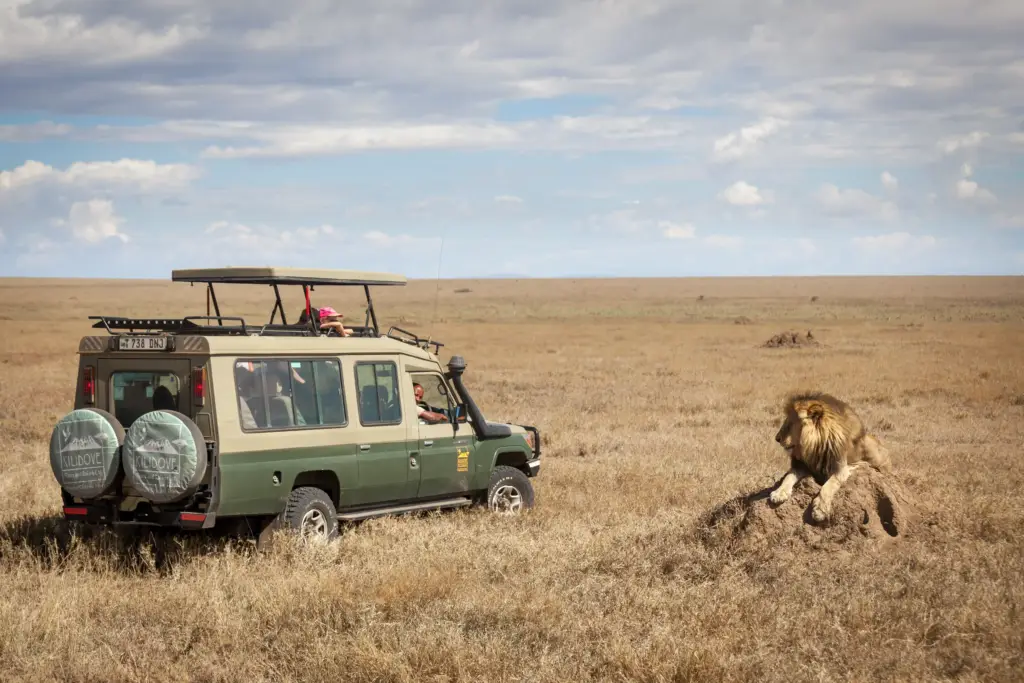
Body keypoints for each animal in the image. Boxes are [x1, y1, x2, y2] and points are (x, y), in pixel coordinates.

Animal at [769, 392, 891, 523]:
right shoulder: (802, 465)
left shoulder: (840, 469)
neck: (815, 446)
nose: (777, 438)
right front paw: (778, 493)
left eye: (790, 424)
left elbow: (829, 484)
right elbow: (788, 477)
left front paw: (820, 509)